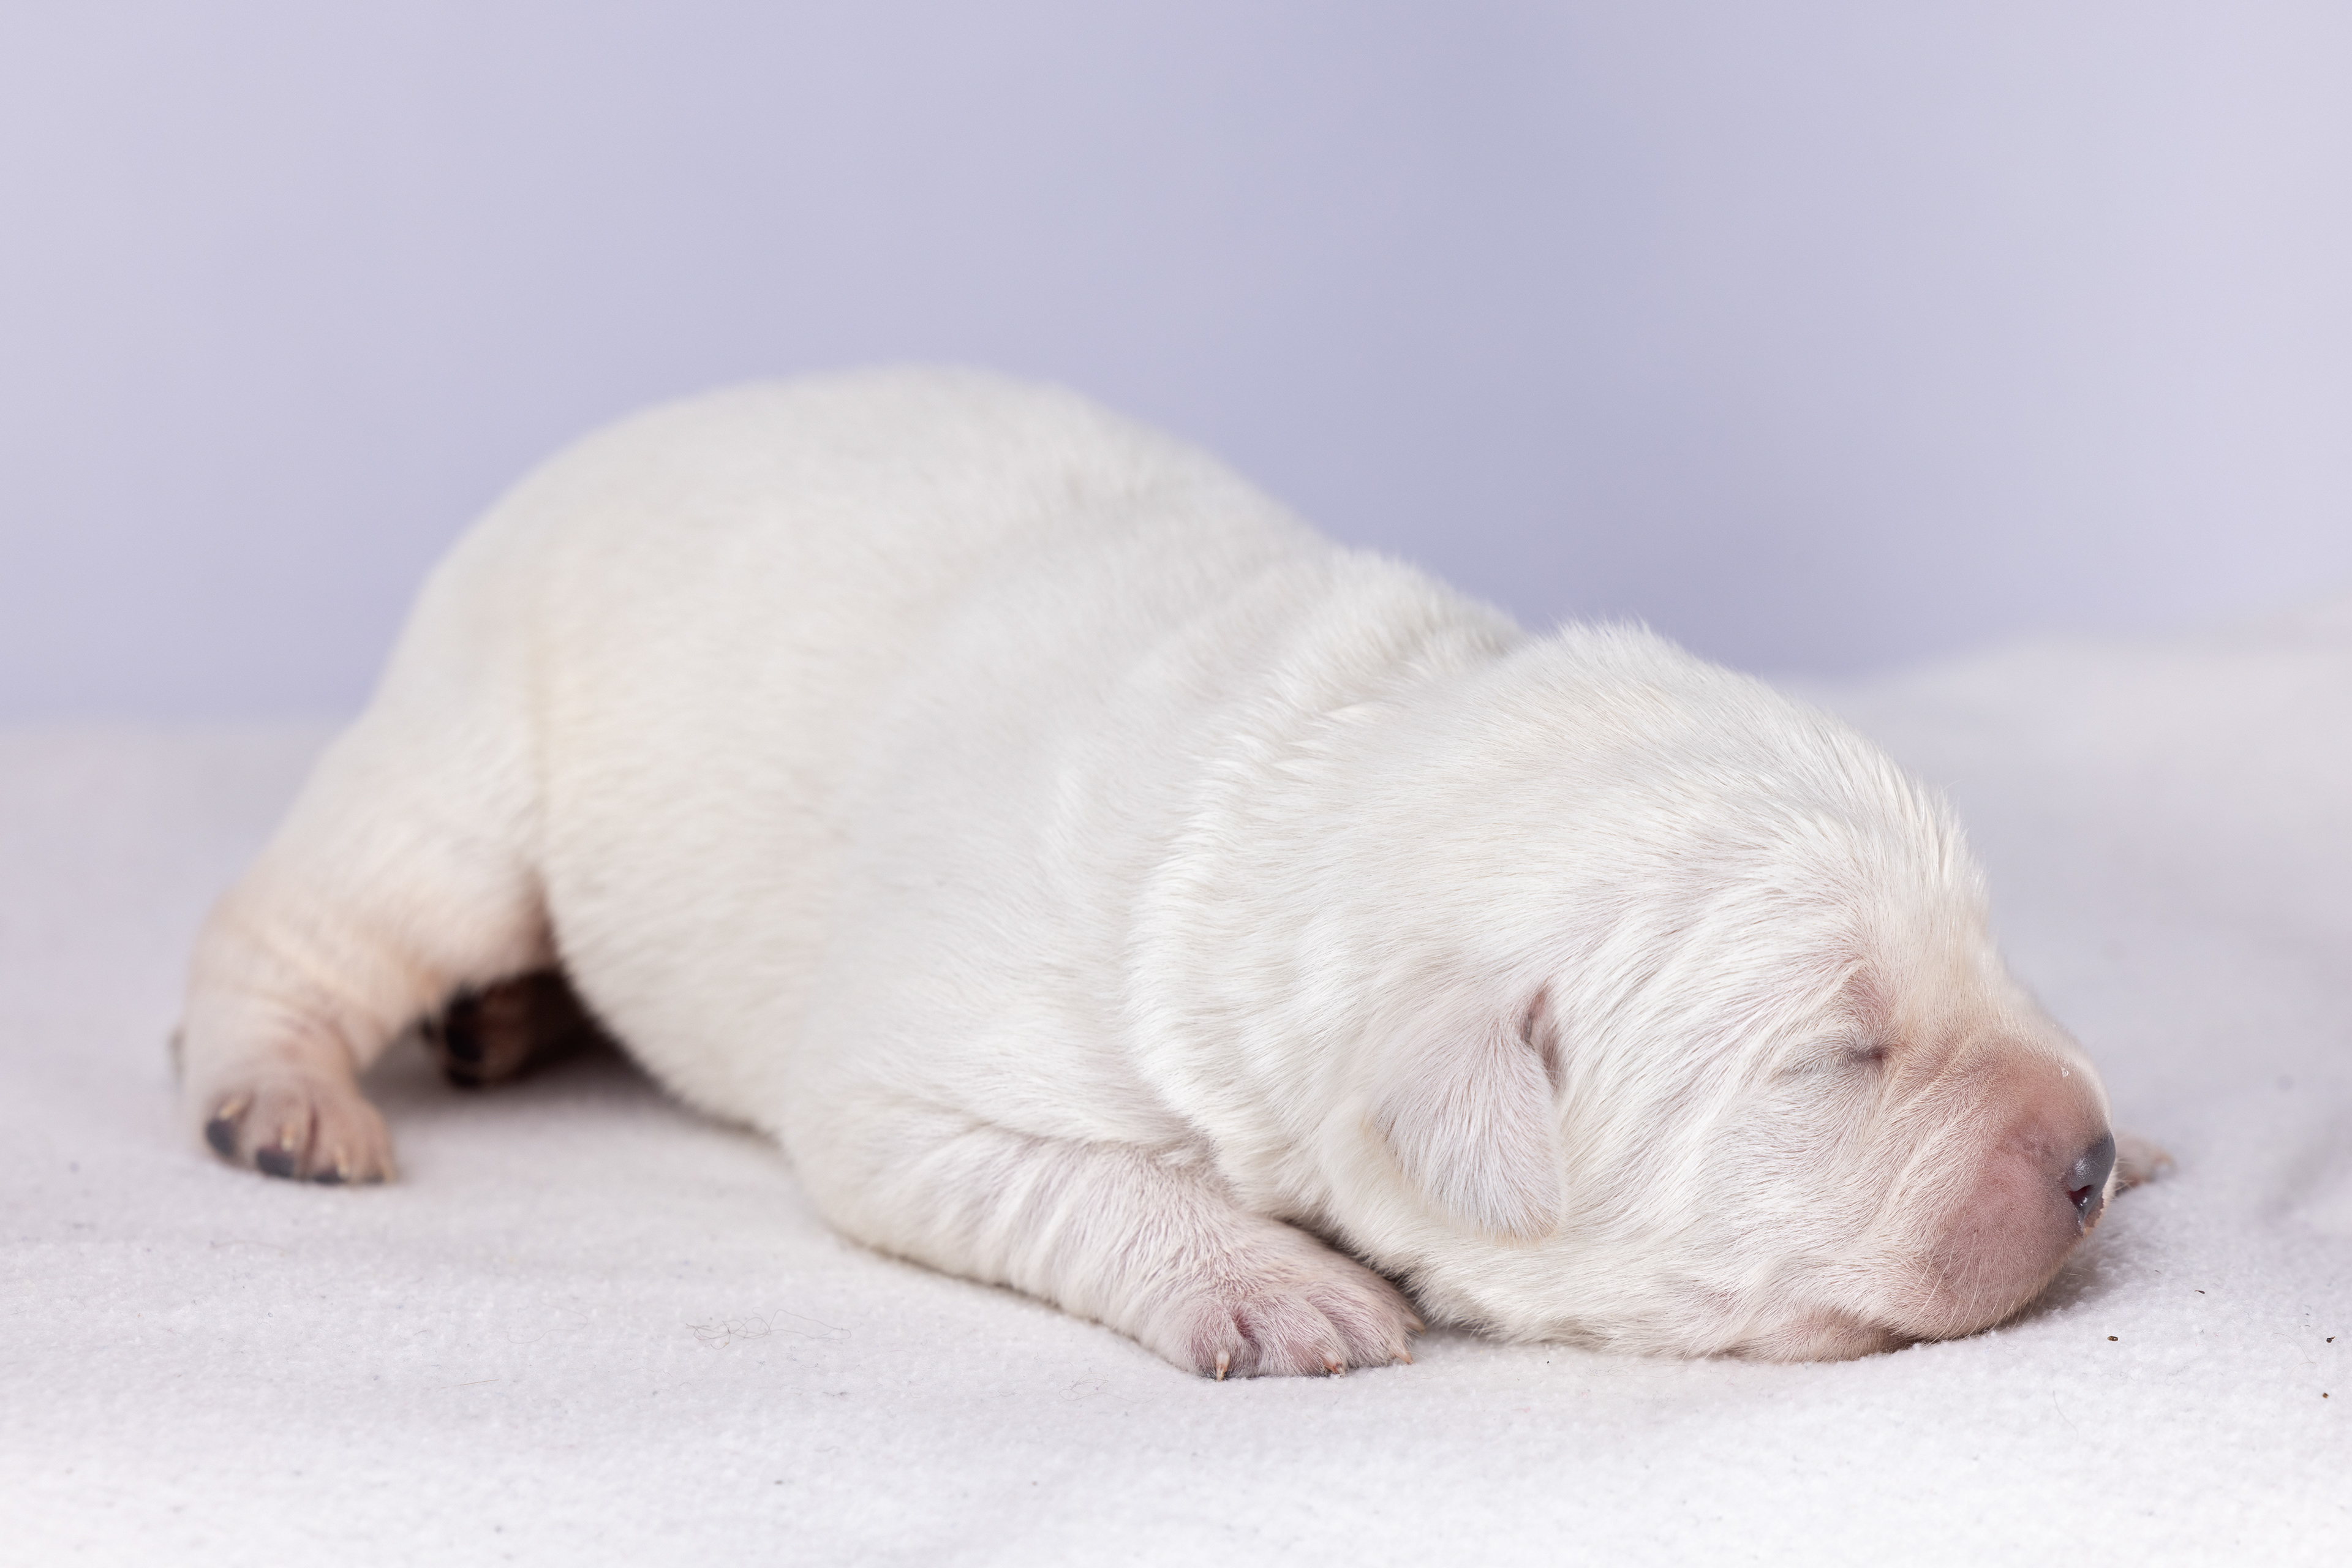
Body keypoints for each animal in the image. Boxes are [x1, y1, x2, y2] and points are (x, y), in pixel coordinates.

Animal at [177, 367, 2156, 1375]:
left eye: (1982, 955)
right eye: (1840, 1056)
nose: (2076, 1155)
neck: (1342, 751)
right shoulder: (915, 1081)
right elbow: (1052, 1173)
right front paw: (1273, 1285)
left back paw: (506, 1023)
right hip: (465, 767)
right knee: (302, 924)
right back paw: (284, 1095)